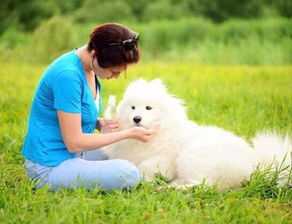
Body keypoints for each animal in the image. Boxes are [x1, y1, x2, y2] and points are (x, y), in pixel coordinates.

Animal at [101, 79, 290, 189]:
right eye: (132, 107)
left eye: (148, 108)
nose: (136, 119)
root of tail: (255, 165)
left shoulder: (166, 158)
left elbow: (146, 165)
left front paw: (149, 179)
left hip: (192, 155)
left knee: (203, 184)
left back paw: (170, 187)